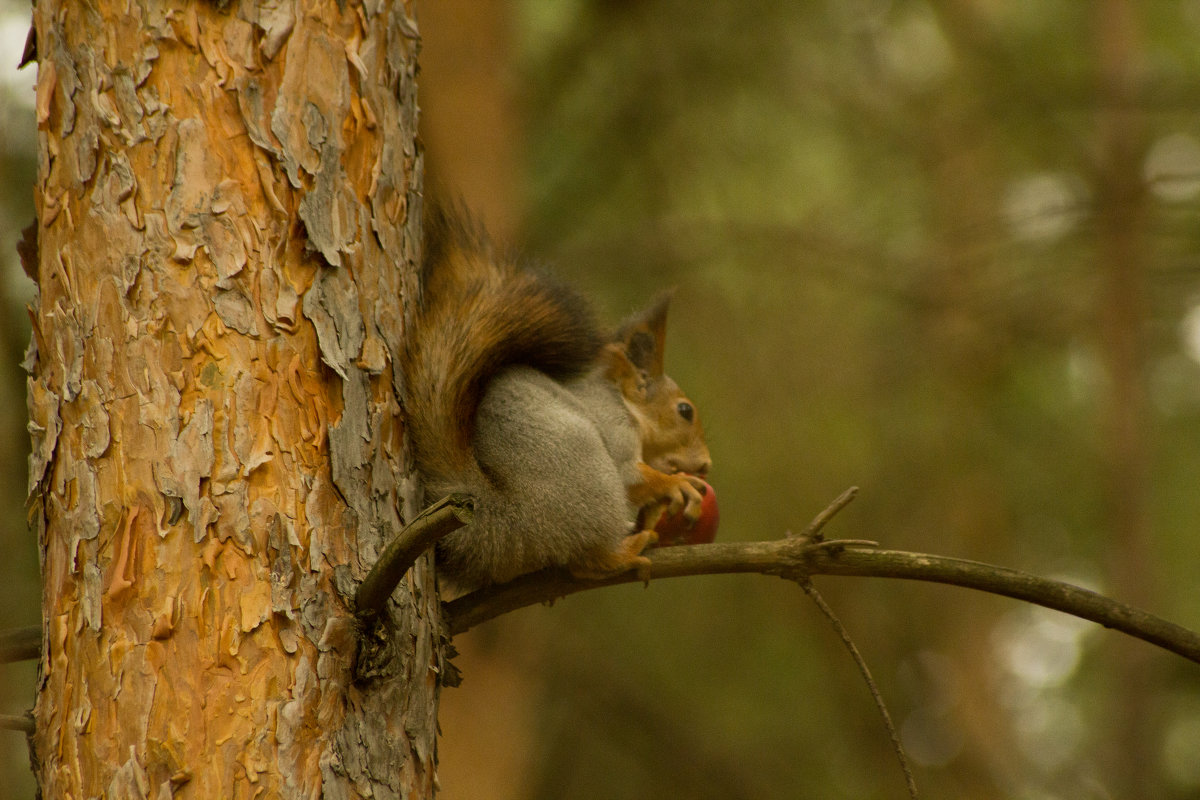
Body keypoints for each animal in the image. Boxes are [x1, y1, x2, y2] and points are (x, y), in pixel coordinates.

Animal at [405, 206, 710, 587]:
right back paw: (623, 553)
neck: (622, 402)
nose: (706, 465)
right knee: (585, 560)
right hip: (586, 473)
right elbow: (631, 474)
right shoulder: (613, 427)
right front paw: (676, 483)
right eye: (685, 411)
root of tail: (504, 525)